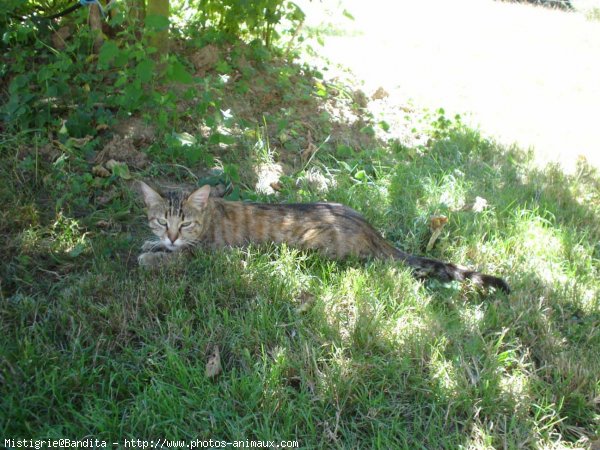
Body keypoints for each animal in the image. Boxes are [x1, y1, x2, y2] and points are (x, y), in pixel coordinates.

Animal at [137, 181, 510, 294]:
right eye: (161, 221)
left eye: (185, 224)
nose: (172, 237)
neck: (211, 215)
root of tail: (371, 228)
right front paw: (151, 243)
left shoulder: (207, 253)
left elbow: (176, 259)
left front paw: (152, 258)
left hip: (313, 245)